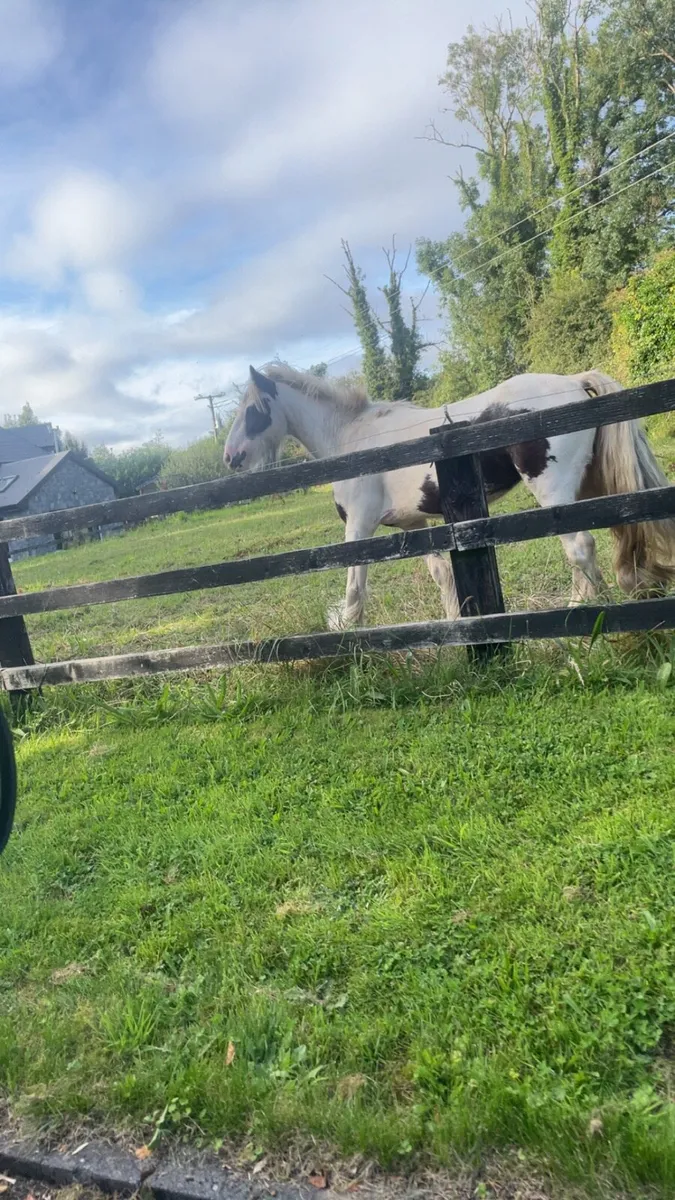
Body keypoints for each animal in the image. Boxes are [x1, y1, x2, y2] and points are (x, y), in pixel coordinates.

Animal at [224, 363, 675, 630]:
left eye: (253, 411)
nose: (230, 457)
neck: (351, 438)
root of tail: (573, 382)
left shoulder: (360, 526)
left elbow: (355, 584)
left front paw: (349, 631)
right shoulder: (413, 524)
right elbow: (441, 574)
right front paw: (455, 623)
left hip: (555, 493)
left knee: (580, 547)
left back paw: (581, 613)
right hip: (592, 486)